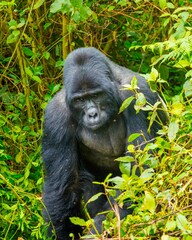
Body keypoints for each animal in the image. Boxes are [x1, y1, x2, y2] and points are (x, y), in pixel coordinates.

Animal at [42, 47, 166, 240]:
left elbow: (140, 170)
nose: (92, 114)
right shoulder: (55, 116)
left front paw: (100, 229)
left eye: (96, 95)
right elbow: (64, 187)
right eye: (79, 100)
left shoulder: (138, 94)